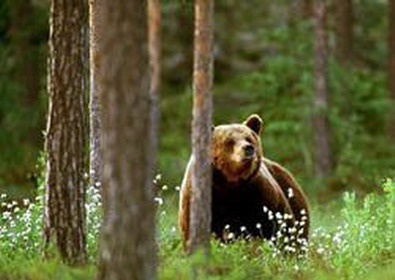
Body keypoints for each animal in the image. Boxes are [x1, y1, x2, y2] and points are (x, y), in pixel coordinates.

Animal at [178, 115, 310, 250]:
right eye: (229, 141)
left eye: (249, 138)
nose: (248, 148)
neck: (231, 183)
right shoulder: (203, 194)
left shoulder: (260, 195)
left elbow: (281, 224)